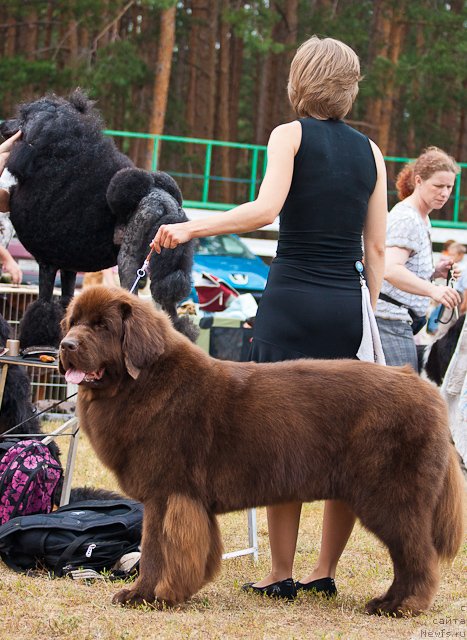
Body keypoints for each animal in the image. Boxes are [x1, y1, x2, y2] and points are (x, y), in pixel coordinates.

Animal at [60, 286, 466, 616]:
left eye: (102, 326)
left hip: (392, 498)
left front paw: (149, 597)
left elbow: (157, 551)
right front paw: (150, 594)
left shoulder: (168, 494)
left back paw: (398, 605)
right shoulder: (174, 499)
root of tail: (424, 388)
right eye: (73, 322)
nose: (66, 345)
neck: (143, 384)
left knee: (416, 556)